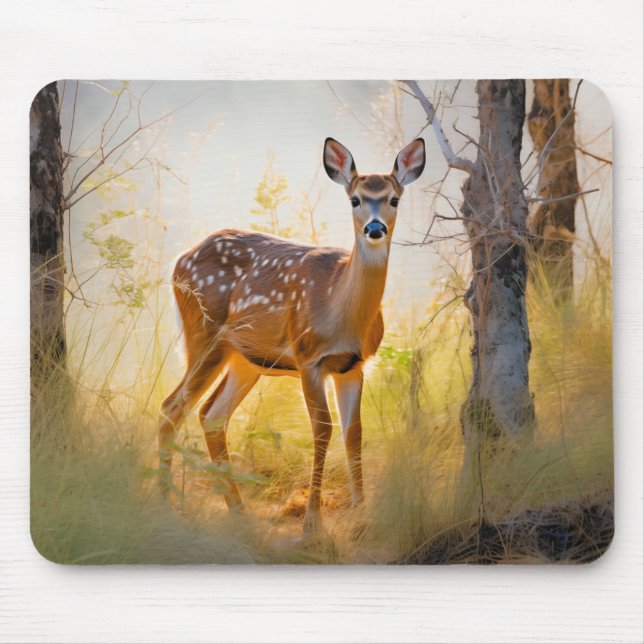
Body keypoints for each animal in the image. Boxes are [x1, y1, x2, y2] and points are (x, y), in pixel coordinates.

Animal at [158, 137, 426, 533]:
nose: (375, 229)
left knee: (211, 414)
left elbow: (354, 432)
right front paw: (312, 524)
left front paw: (362, 515)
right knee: (171, 407)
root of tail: (179, 261)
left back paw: (238, 512)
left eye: (394, 199)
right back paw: (163, 503)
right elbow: (323, 429)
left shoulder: (354, 365)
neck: (340, 311)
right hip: (203, 335)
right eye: (355, 199)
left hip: (245, 358)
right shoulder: (308, 357)